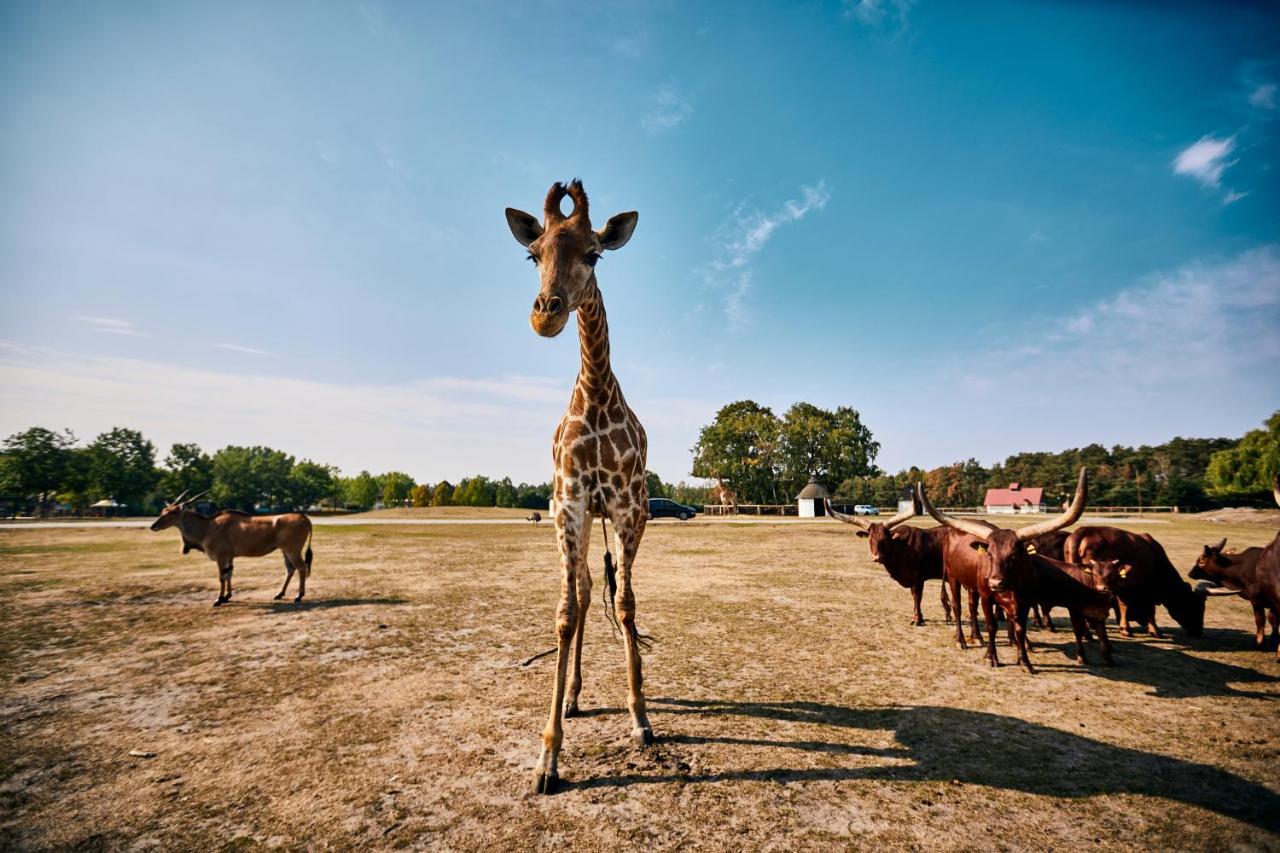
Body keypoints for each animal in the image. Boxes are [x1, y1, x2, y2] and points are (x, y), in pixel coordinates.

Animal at [150, 491, 314, 604]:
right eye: (163, 511)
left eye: (172, 512)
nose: (153, 526)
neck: (208, 527)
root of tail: (304, 518)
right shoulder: (229, 557)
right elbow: (229, 574)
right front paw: (227, 597)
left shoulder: (221, 557)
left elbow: (222, 577)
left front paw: (218, 599)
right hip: (285, 551)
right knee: (290, 569)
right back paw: (279, 594)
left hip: (292, 550)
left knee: (301, 568)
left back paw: (299, 596)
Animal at [824, 499, 957, 625]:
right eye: (870, 539)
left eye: (884, 539)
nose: (876, 557)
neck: (902, 546)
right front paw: (918, 617)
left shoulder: (918, 577)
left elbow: (917, 596)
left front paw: (917, 619)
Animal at [921, 466, 1090, 671]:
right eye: (990, 555)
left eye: (1014, 556)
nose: (995, 582)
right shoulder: (987, 596)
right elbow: (992, 625)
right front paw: (991, 657)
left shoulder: (1025, 601)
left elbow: (1019, 628)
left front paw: (1024, 660)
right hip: (953, 577)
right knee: (958, 606)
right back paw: (961, 639)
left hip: (973, 585)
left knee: (971, 606)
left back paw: (977, 637)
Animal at [1064, 522, 1203, 635]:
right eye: (1194, 606)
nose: (1198, 631)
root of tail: (1084, 530)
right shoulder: (1143, 588)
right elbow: (1143, 608)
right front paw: (1151, 629)